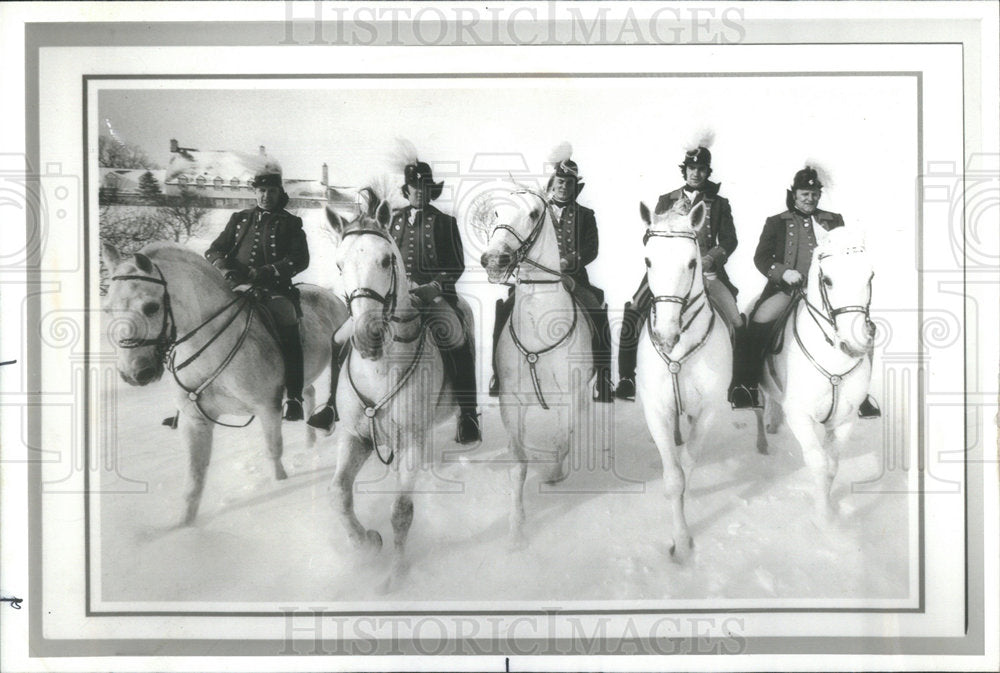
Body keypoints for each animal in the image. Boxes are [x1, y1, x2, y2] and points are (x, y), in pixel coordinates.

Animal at [99, 242, 346, 524]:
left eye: (151, 307)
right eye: (107, 310)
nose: (134, 373)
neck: (209, 350)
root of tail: (328, 294)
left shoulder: (268, 409)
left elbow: (273, 453)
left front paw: (281, 483)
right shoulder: (196, 421)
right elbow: (194, 478)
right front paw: (185, 525)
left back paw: (325, 423)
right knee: (309, 392)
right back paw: (310, 441)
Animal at [478, 185, 592, 544]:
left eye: (532, 213)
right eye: (495, 212)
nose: (494, 259)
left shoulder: (569, 399)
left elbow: (562, 442)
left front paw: (554, 474)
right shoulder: (511, 403)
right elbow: (519, 463)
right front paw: (517, 530)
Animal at [636, 201, 732, 560]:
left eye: (692, 262)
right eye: (648, 260)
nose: (666, 336)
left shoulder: (709, 410)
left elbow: (687, 464)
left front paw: (683, 538)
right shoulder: (655, 411)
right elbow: (674, 476)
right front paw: (680, 540)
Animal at [756, 227, 876, 520]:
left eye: (870, 275)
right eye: (828, 280)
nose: (855, 344)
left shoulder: (844, 420)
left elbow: (832, 465)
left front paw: (829, 512)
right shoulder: (801, 416)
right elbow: (818, 463)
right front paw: (823, 520)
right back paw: (763, 442)